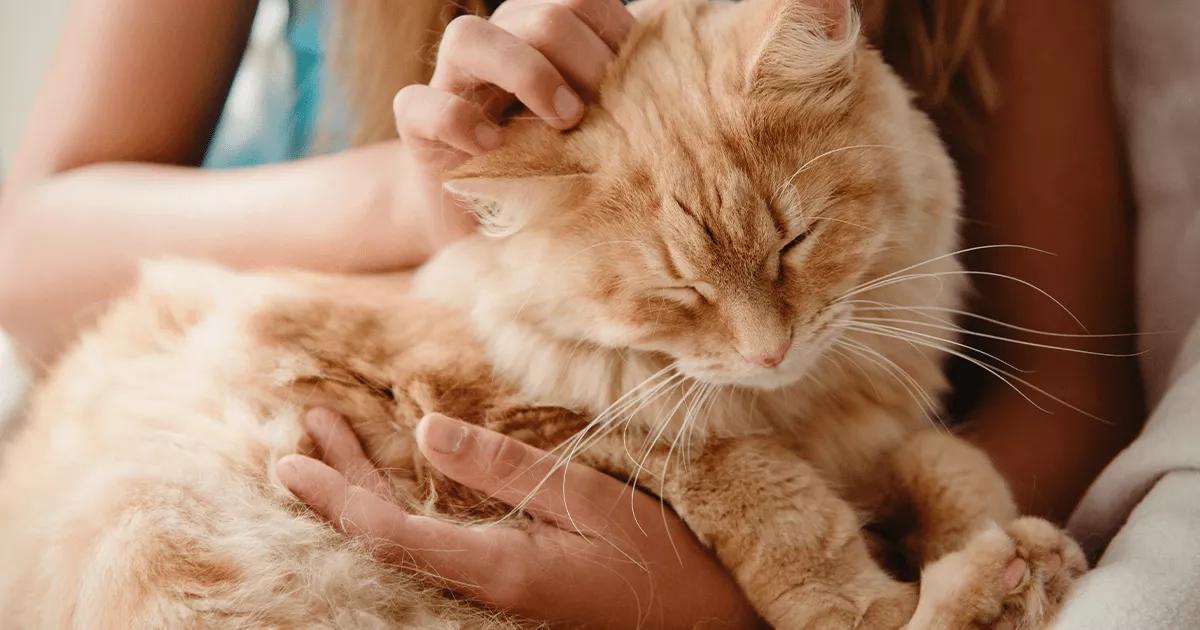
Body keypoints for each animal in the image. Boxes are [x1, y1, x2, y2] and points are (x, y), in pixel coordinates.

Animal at [0, 2, 1089, 624]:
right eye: (680, 293)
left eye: (795, 243)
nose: (769, 349)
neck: (802, 405)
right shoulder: (528, 418)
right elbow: (787, 514)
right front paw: (931, 581)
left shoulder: (872, 433)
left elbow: (945, 462)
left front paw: (1013, 541)